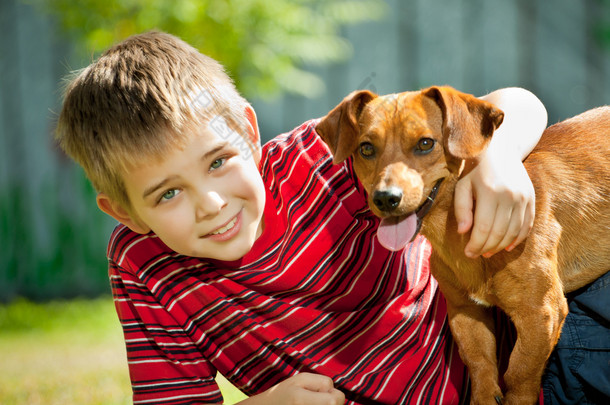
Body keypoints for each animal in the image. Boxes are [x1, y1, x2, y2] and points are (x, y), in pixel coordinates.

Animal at [314, 87, 608, 402]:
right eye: (366, 148)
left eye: (425, 143)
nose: (385, 198)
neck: (457, 236)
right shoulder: (465, 312)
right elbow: (481, 368)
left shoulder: (541, 313)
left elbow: (518, 374)